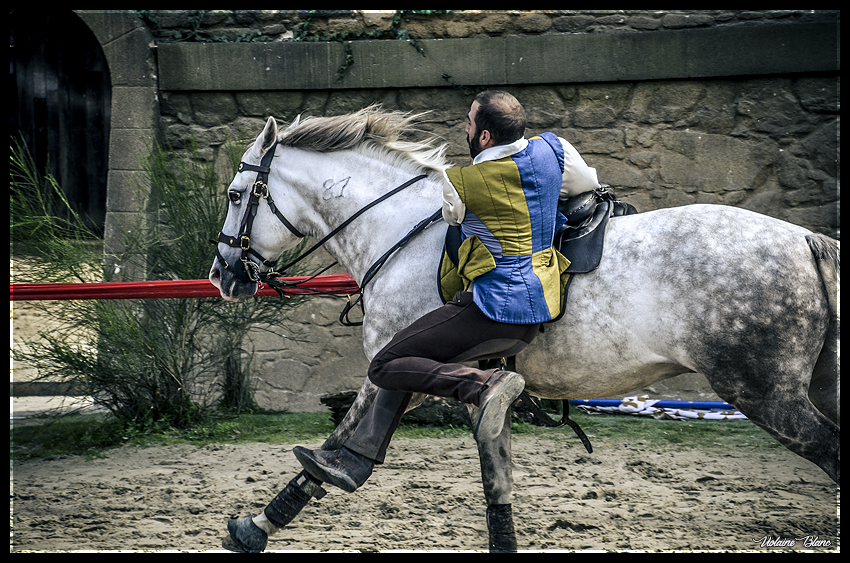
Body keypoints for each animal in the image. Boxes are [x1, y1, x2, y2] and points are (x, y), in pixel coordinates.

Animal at [209, 107, 839, 552]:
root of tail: (806, 240)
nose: (221, 274)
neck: (405, 231)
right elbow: (466, 457)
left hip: (763, 392)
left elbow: (346, 436)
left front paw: (259, 524)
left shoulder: (398, 358)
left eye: (237, 195)